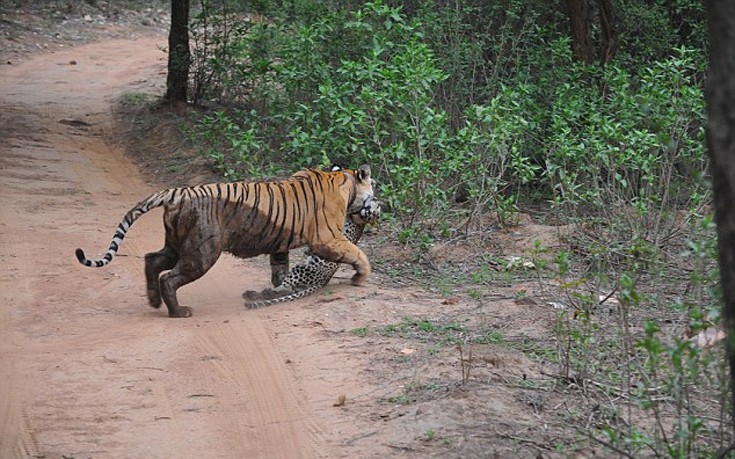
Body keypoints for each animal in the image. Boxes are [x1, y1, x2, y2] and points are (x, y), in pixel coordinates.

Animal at [244, 196, 382, 308]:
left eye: (373, 212)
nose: (371, 205)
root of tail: (322, 282)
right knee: (290, 289)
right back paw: (254, 293)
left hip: (301, 269)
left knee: (286, 288)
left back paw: (265, 292)